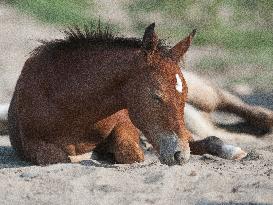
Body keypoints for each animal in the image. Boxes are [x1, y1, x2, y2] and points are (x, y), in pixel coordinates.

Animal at [5, 23, 272, 166]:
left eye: (182, 96)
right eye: (156, 96)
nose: (180, 155)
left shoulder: (126, 124)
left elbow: (132, 154)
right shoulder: (33, 144)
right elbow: (60, 158)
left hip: (202, 95)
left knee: (226, 102)